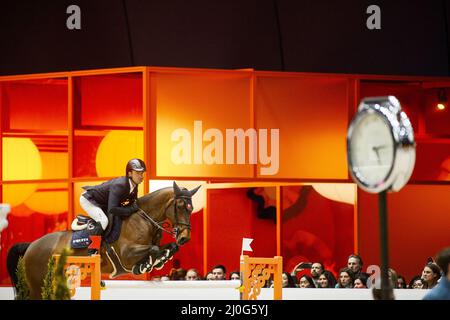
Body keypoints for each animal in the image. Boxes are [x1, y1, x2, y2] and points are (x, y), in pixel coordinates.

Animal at [6, 182, 200, 300]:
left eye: (192, 208)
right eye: (180, 206)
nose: (185, 237)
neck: (146, 219)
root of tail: (31, 245)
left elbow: (166, 247)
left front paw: (161, 258)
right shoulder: (126, 255)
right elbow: (151, 249)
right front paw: (145, 265)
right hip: (37, 284)